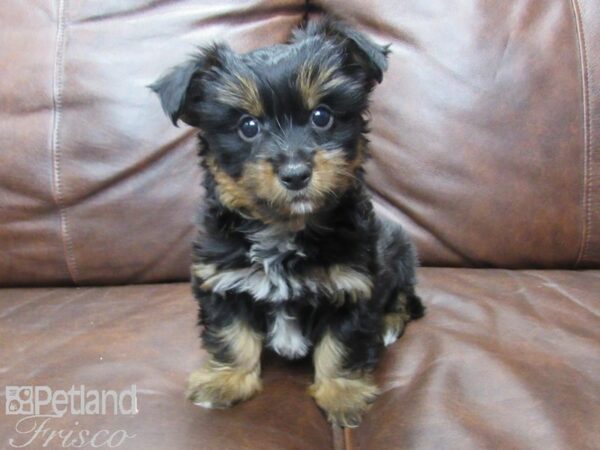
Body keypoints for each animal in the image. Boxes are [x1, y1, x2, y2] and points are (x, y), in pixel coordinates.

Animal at [152, 15, 424, 428]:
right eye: (248, 126)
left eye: (321, 116)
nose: (296, 173)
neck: (284, 228)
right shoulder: (222, 280)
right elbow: (231, 333)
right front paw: (226, 380)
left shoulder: (354, 284)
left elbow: (342, 343)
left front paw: (341, 394)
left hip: (400, 251)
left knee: (404, 297)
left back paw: (389, 325)